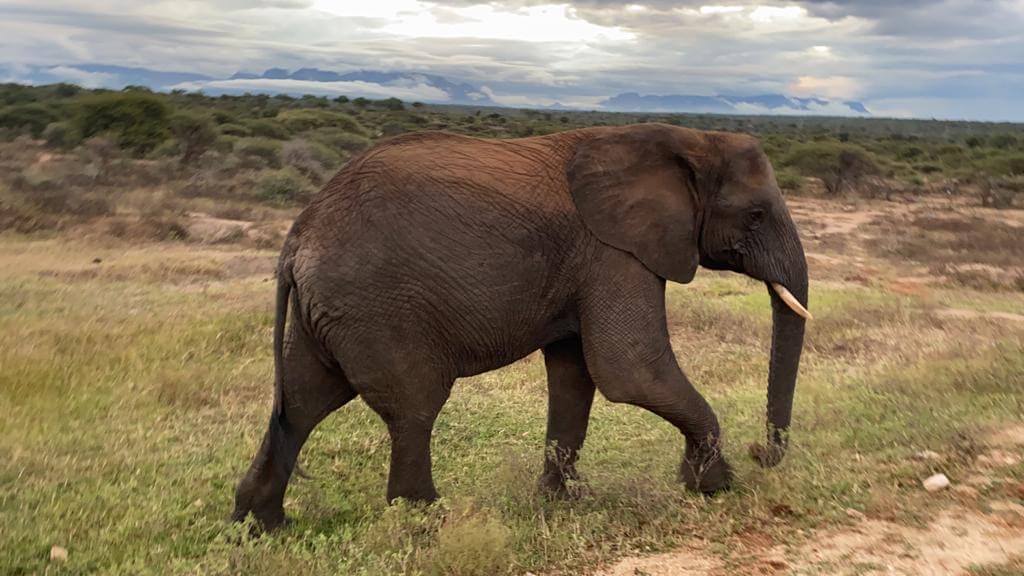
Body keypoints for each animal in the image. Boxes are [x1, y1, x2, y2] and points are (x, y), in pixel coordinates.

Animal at [232, 122, 810, 530]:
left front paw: (561, 501)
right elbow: (629, 369)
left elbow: (577, 377)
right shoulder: (614, 251)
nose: (762, 454)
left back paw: (262, 526)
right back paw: (427, 520)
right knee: (412, 408)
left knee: (302, 404)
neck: (685, 139)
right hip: (376, 306)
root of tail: (298, 236)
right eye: (756, 216)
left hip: (331, 311)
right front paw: (714, 485)